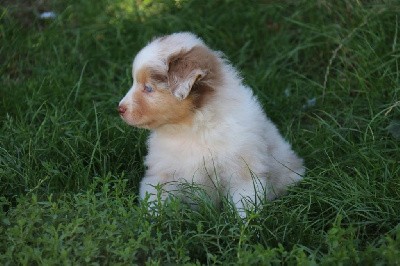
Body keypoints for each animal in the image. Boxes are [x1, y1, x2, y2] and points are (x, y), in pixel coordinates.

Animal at [119, 32, 306, 216]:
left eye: (148, 88)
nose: (119, 108)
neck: (191, 127)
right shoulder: (162, 173)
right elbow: (154, 201)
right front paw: (149, 221)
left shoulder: (242, 174)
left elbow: (243, 207)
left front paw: (244, 225)